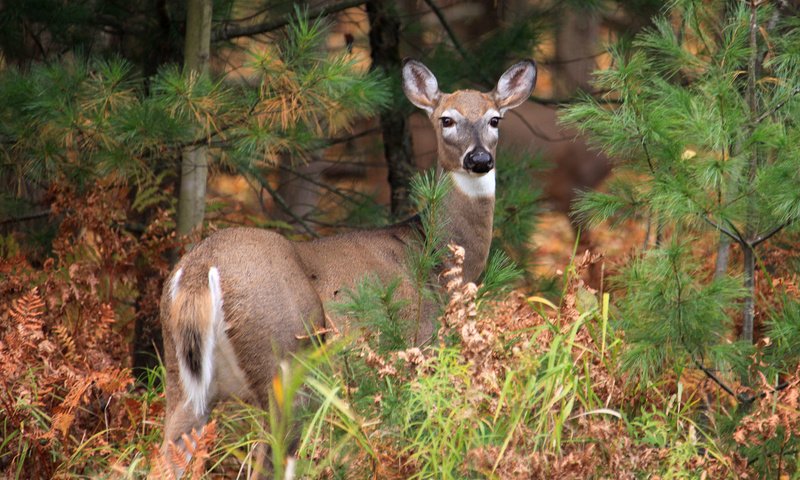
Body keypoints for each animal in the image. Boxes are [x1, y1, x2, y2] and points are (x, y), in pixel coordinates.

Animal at [156, 57, 536, 476]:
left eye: (495, 119)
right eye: (447, 120)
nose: (479, 159)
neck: (435, 254)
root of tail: (199, 269)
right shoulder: (416, 344)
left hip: (181, 379)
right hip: (284, 359)